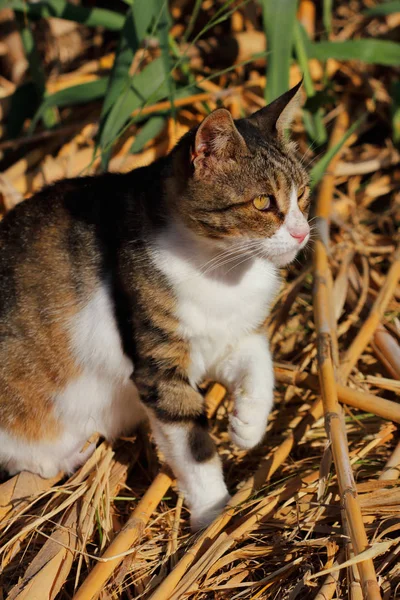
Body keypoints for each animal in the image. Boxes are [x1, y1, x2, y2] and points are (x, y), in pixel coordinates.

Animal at [0, 79, 310, 528]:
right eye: (262, 203)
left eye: (303, 195)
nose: (303, 233)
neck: (220, 269)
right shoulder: (158, 367)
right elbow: (193, 446)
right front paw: (213, 515)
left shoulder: (225, 337)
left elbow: (259, 360)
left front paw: (248, 425)